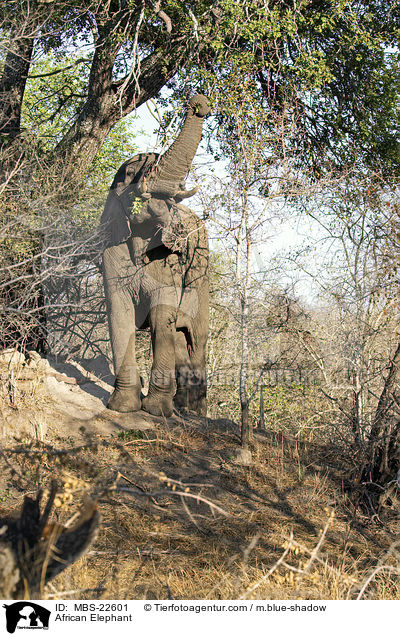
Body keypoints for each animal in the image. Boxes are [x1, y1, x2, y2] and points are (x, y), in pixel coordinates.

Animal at [101, 94, 209, 418]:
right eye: (133, 175)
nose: (200, 103)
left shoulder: (170, 262)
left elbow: (163, 314)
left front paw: (156, 412)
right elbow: (119, 313)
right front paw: (123, 408)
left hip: (203, 272)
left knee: (196, 337)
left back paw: (193, 412)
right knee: (181, 335)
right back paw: (182, 406)